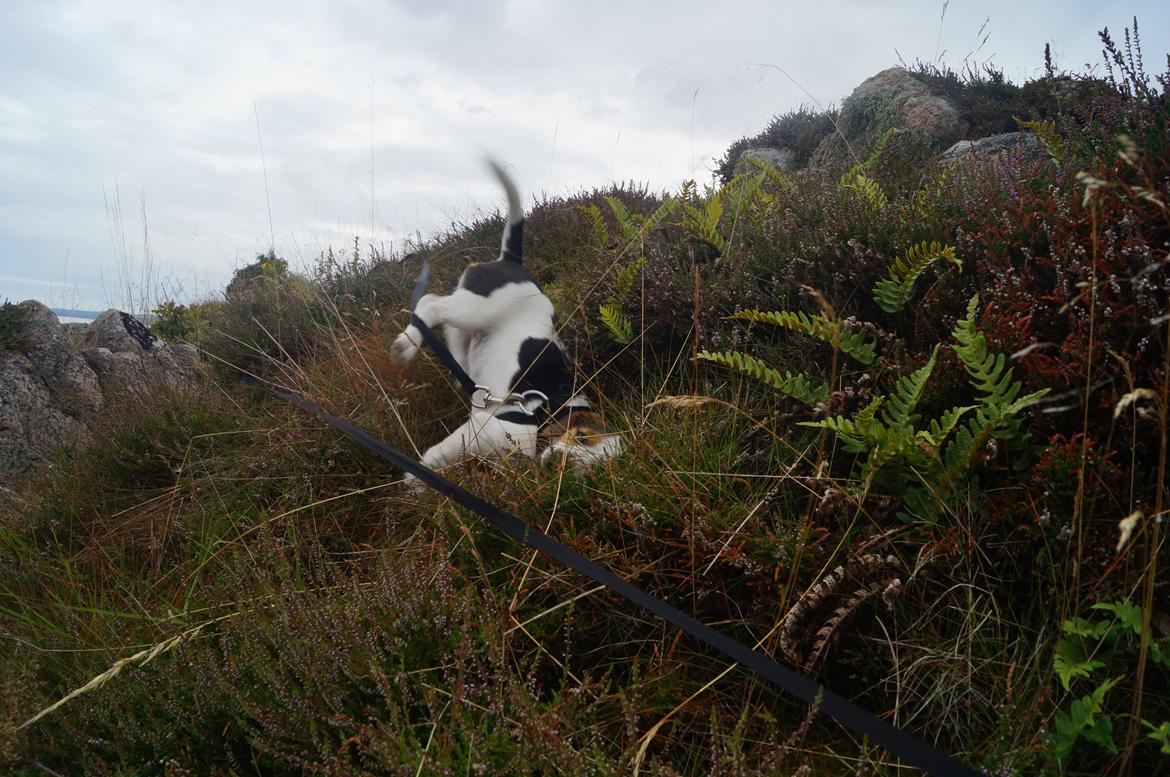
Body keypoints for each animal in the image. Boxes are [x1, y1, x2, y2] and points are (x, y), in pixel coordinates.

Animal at [393, 159, 627, 486]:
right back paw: (406, 345)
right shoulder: (479, 431)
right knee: (429, 303)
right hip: (476, 308)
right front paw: (415, 482)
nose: (559, 464)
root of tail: (511, 261)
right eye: (582, 437)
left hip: (468, 323)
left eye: (597, 471)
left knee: (449, 329)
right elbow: (434, 460)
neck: (544, 419)